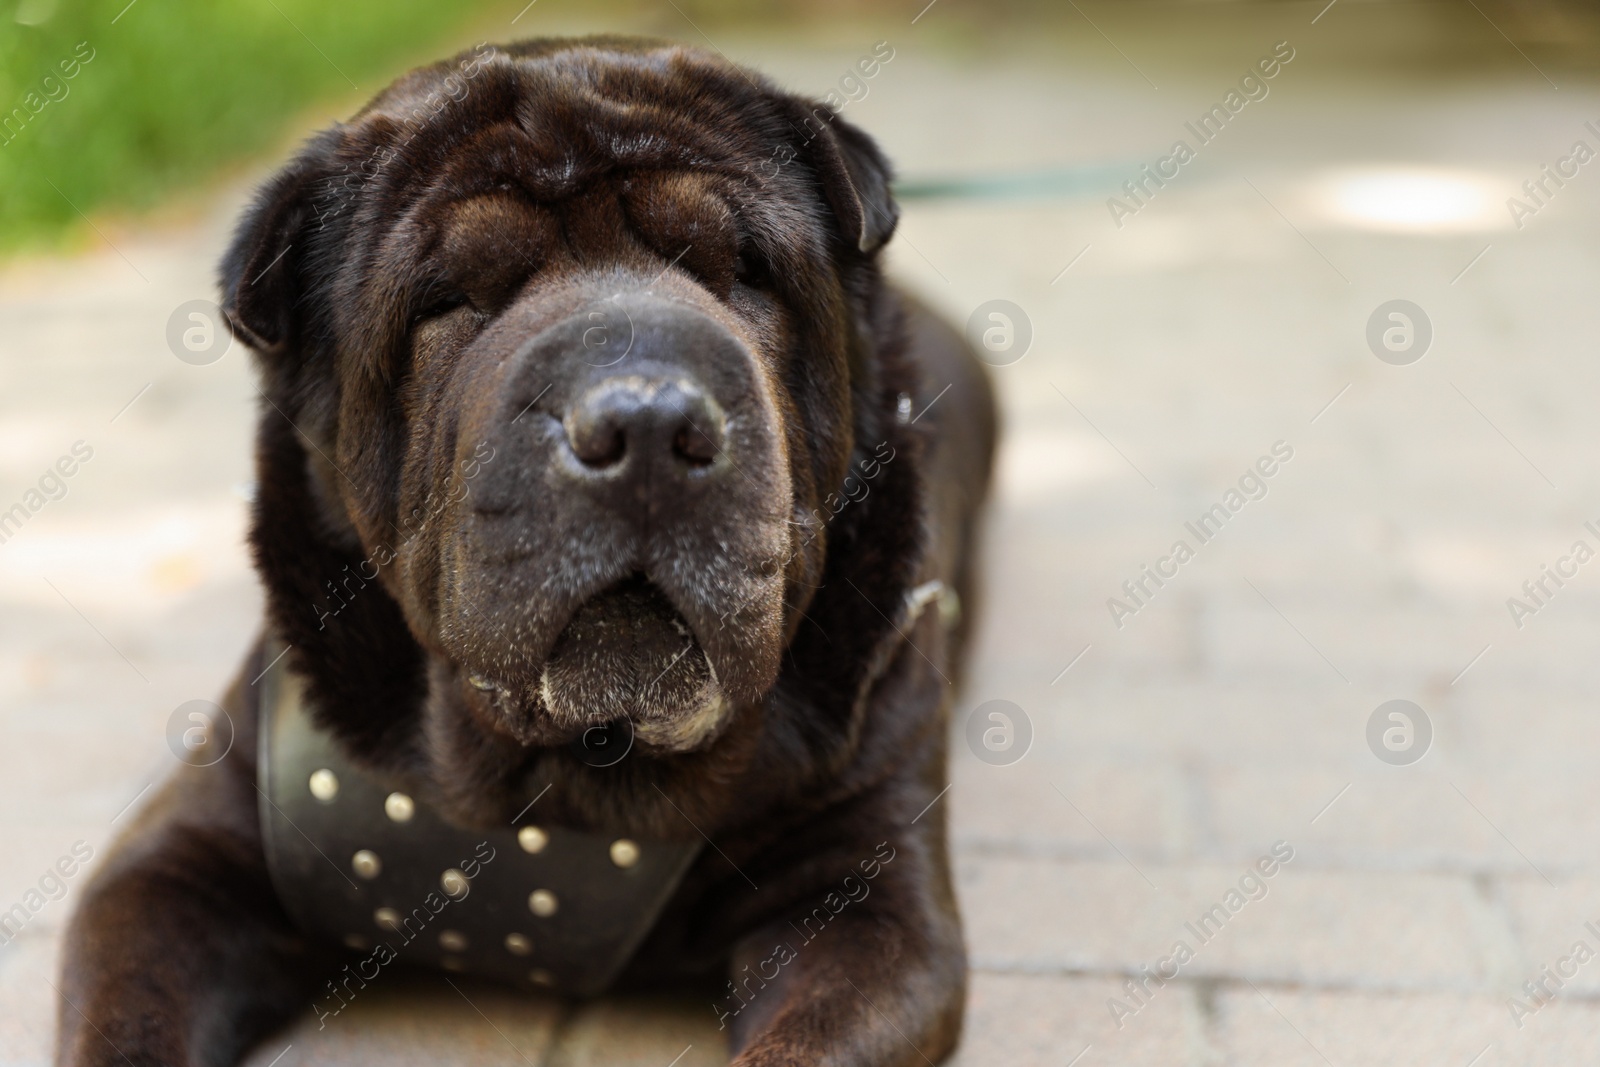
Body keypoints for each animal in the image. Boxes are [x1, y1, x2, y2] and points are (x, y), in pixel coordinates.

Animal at [59, 33, 985, 1067]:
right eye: (449, 298)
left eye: (746, 267)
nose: (644, 421)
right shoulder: (177, 862)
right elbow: (128, 1023)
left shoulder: (869, 897)